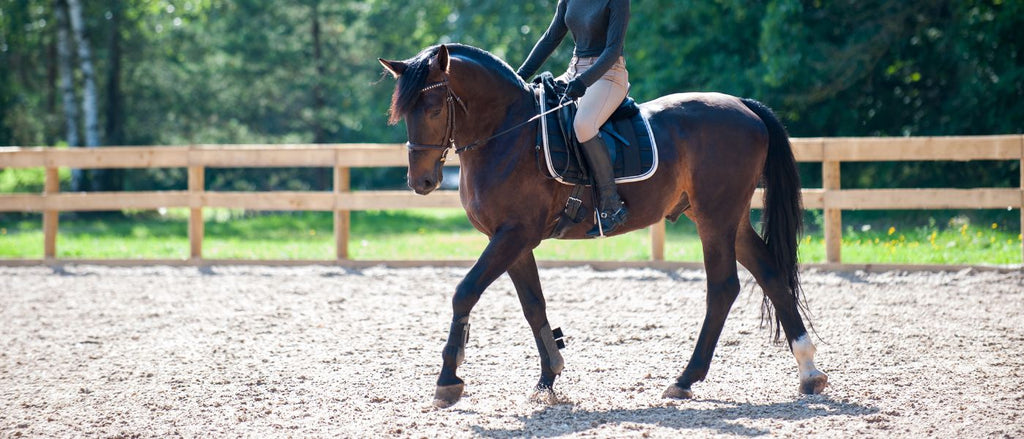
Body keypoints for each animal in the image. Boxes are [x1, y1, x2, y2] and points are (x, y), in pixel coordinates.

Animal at [378, 44, 828, 408]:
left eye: (434, 109)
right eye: (402, 114)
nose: (421, 182)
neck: (507, 133)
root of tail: (743, 106)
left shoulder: (514, 234)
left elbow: (465, 292)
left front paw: (448, 380)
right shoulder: (512, 240)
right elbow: (533, 305)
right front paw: (548, 377)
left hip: (715, 218)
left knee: (722, 289)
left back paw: (686, 379)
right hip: (729, 219)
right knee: (771, 274)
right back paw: (808, 372)